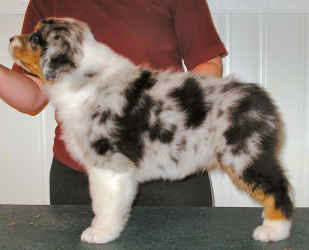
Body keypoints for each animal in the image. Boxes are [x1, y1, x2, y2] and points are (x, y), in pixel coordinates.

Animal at [9, 18, 292, 244]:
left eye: (35, 38)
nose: (11, 38)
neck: (83, 79)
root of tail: (260, 97)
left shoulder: (108, 165)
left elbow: (104, 204)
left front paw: (100, 233)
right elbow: (118, 203)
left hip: (243, 155)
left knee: (278, 189)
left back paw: (273, 230)